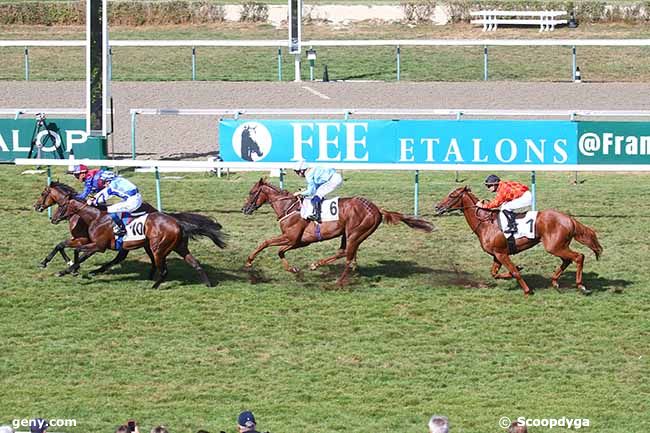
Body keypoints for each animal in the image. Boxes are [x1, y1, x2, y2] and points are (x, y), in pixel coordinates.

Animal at [50, 192, 225, 286]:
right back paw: (208, 284)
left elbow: (78, 251)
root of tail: (179, 224)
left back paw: (154, 285)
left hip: (158, 249)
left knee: (163, 268)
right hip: (177, 247)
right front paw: (70, 269)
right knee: (195, 264)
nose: (53, 218)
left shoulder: (99, 246)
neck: (97, 217)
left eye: (61, 206)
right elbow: (73, 249)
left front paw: (70, 269)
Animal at [240, 177, 432, 286]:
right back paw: (319, 265)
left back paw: (338, 281)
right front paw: (295, 269)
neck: (289, 207)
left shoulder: (292, 238)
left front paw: (249, 261)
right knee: (344, 252)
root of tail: (377, 209)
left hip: (356, 232)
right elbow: (278, 250)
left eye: (251, 192)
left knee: (347, 255)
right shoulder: (300, 241)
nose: (244, 209)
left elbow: (268, 244)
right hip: (349, 234)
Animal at [432, 184, 600, 296]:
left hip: (554, 246)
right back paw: (555, 282)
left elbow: (513, 272)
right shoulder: (497, 255)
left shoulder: (501, 253)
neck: (485, 223)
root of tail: (569, 219)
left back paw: (580, 286)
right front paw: (518, 269)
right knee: (567, 260)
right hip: (559, 246)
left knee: (578, 257)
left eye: (452, 195)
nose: (437, 207)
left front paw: (527, 290)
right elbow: (495, 273)